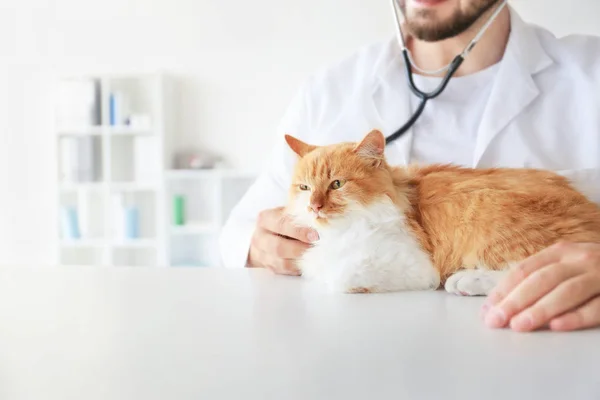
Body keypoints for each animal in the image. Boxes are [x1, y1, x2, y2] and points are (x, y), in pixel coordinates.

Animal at [284, 130, 600, 296]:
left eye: (337, 184)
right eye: (305, 187)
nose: (314, 206)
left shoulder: (416, 266)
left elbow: (338, 276)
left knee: (526, 270)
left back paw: (466, 281)